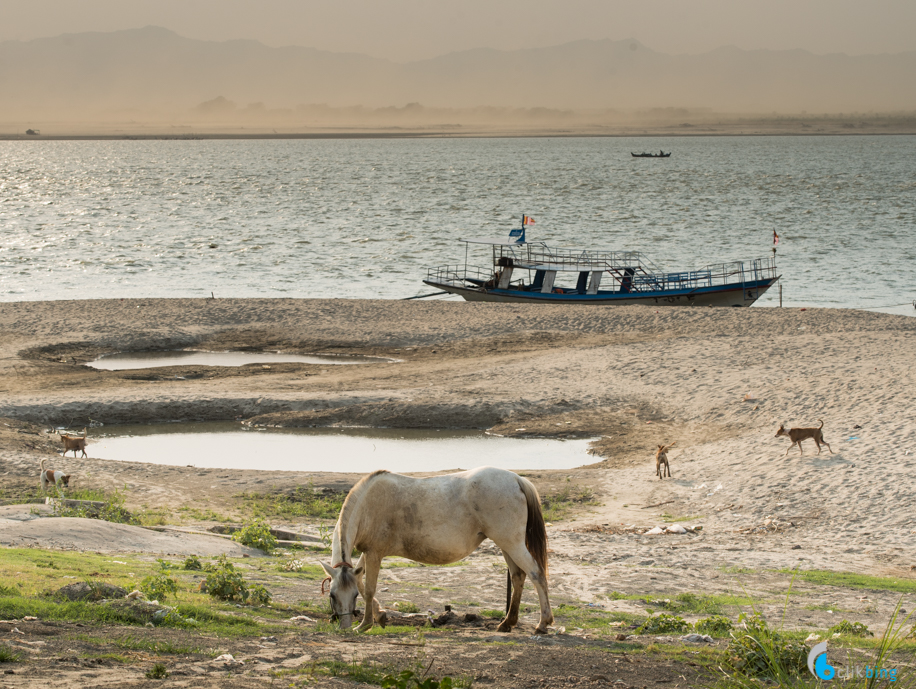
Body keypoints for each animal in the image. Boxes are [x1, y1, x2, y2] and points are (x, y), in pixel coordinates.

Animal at [320, 464, 552, 632]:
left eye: (353, 597)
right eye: (332, 595)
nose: (344, 627)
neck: (367, 506)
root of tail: (516, 479)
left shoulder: (374, 553)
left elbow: (369, 588)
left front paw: (365, 625)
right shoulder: (368, 554)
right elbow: (360, 580)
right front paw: (381, 616)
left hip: (512, 543)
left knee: (536, 574)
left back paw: (543, 624)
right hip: (507, 545)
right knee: (518, 576)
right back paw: (507, 623)